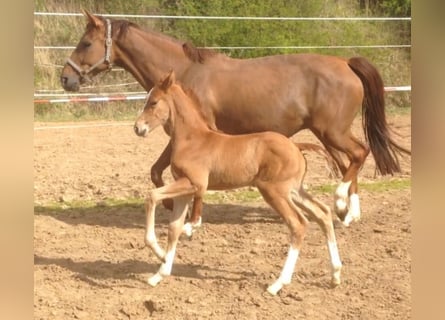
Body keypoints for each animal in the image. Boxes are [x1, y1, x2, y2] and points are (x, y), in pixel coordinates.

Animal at [132, 72, 340, 296]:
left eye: (153, 102)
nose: (138, 128)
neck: (192, 139)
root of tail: (296, 146)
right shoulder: (184, 190)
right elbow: (174, 228)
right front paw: (160, 273)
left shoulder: (194, 184)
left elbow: (152, 197)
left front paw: (161, 253)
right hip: (294, 190)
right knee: (322, 212)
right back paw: (335, 275)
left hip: (274, 191)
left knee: (298, 223)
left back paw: (277, 284)